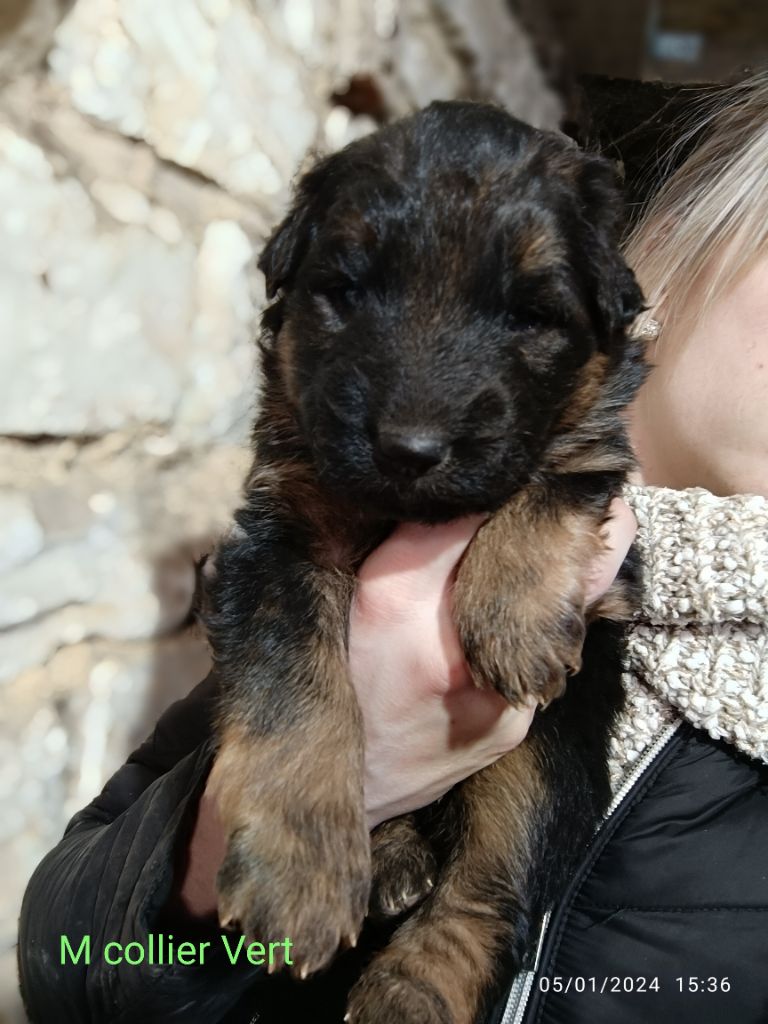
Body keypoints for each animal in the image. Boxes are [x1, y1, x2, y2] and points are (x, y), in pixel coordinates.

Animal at [201, 101, 647, 1024]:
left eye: (528, 316)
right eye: (345, 292)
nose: (410, 449)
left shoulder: (604, 519)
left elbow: (558, 470)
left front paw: (513, 618)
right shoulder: (281, 532)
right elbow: (294, 694)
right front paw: (300, 876)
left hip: (545, 755)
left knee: (490, 891)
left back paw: (410, 991)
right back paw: (392, 860)